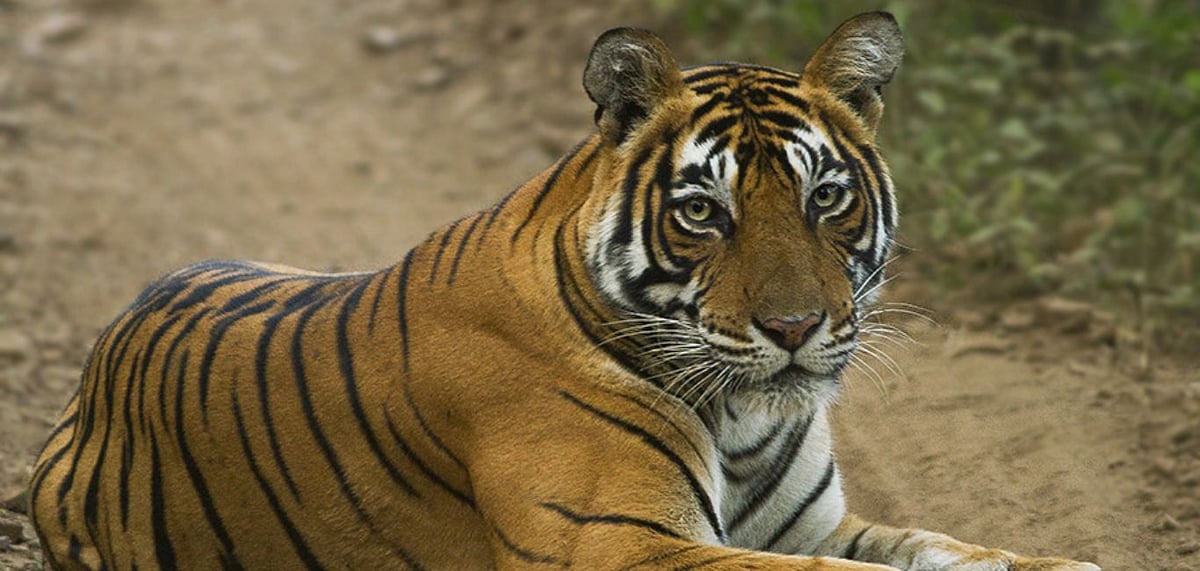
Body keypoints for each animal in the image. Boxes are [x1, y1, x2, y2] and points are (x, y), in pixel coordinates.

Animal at [29, 12, 1100, 571]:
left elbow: (951, 548)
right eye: (704, 212)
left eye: (824, 196)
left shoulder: (822, 527)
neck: (745, 419)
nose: (796, 326)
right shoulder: (623, 546)